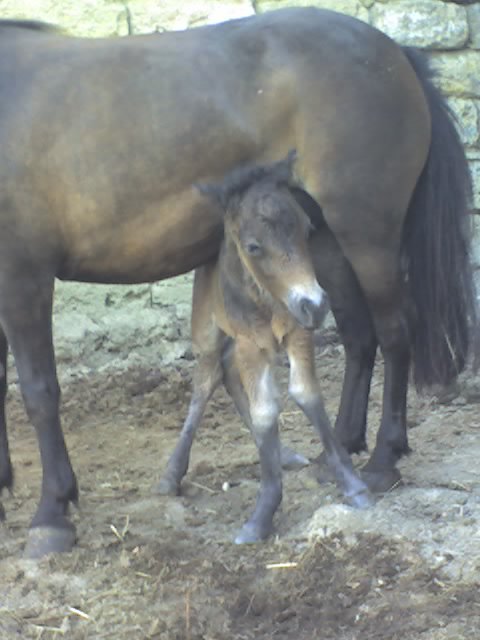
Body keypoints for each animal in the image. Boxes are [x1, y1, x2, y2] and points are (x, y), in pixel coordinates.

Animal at [158, 152, 372, 544]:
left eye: (307, 229)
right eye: (254, 247)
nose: (316, 303)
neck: (267, 300)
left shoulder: (298, 331)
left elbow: (305, 394)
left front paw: (353, 485)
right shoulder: (248, 341)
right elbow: (265, 411)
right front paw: (262, 514)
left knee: (225, 372)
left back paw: (284, 454)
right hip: (207, 328)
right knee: (207, 377)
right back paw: (171, 474)